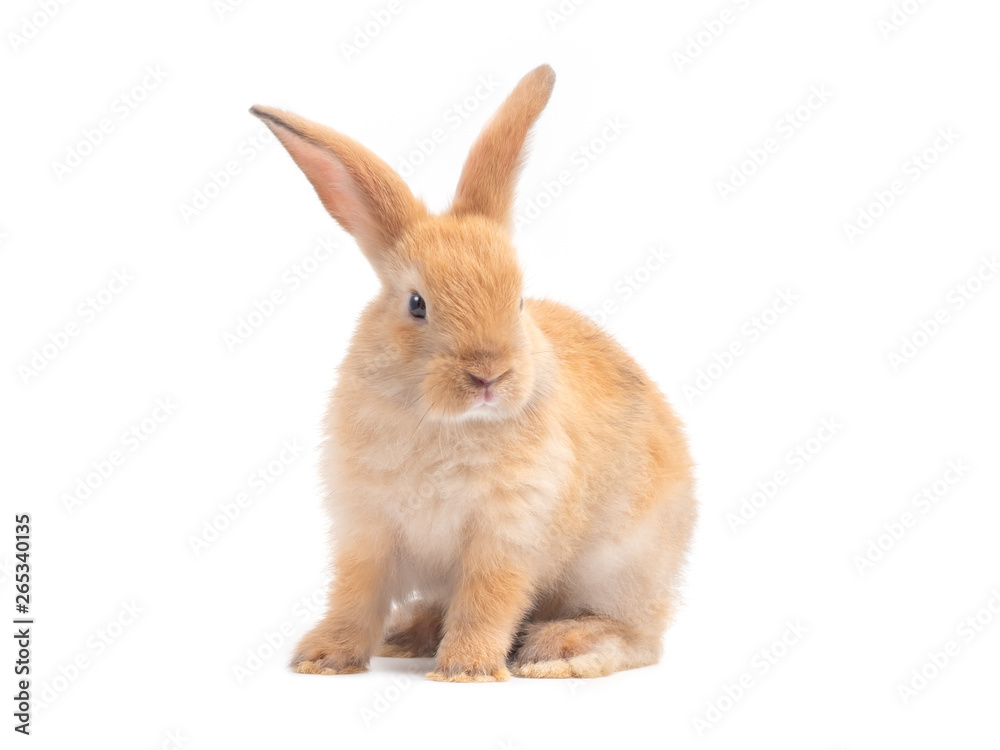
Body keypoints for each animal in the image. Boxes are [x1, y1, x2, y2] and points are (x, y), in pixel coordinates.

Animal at [250, 64, 696, 681]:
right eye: (417, 304)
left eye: (519, 301)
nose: (489, 375)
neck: (445, 424)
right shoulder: (367, 531)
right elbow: (354, 596)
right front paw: (323, 659)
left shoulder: (506, 537)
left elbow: (489, 599)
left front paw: (466, 669)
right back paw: (409, 634)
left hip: (620, 567)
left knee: (640, 639)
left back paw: (559, 651)